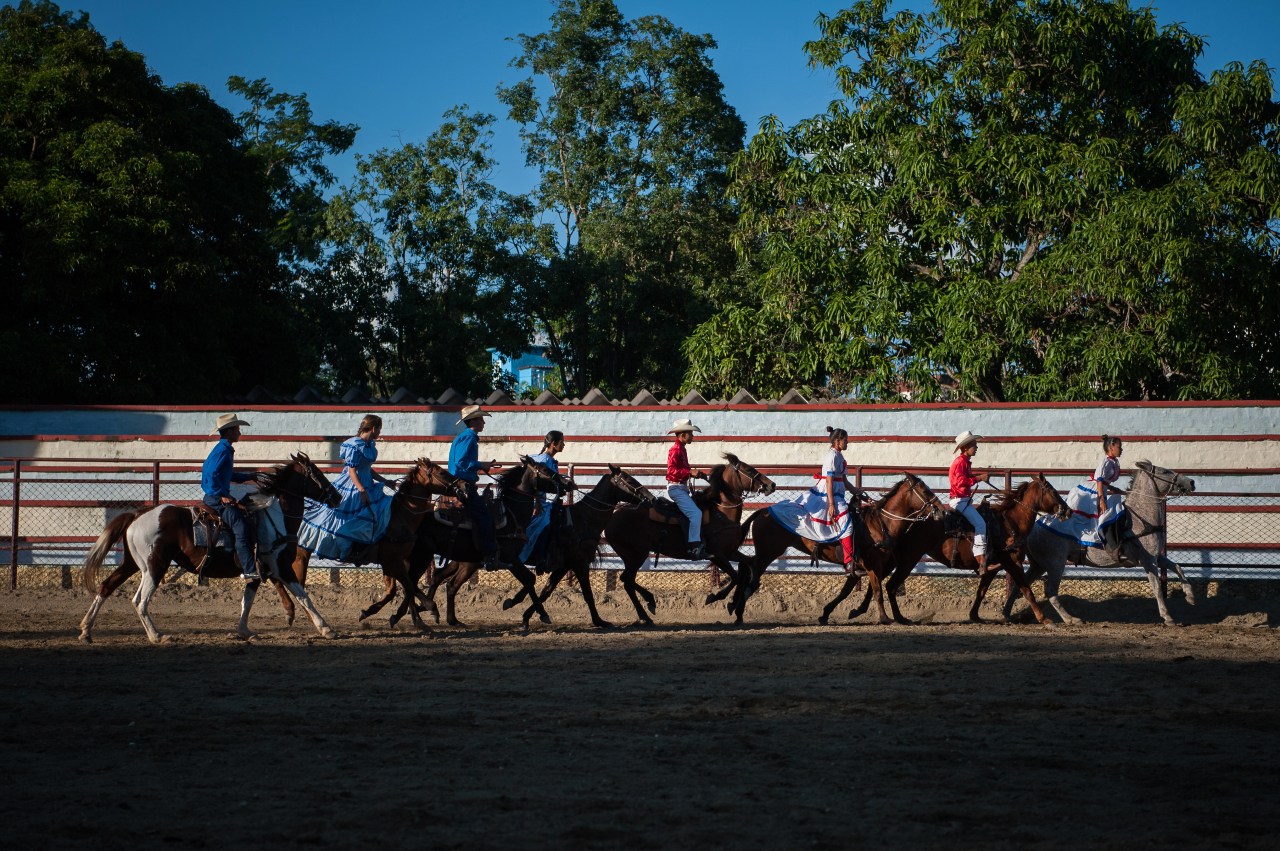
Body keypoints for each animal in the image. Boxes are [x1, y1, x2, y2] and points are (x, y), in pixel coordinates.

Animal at [78, 450, 343, 644]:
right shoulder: (280, 566)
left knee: (107, 586)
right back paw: (157, 636)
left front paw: (245, 631)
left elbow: (248, 600)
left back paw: (86, 630)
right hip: (155, 566)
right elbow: (304, 596)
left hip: (133, 564)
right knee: (140, 601)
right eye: (317, 473)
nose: (337, 497)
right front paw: (327, 628)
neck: (275, 515)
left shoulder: (259, 568)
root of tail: (137, 514)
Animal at [360, 455, 560, 627]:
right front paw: (535, 612)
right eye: (545, 469)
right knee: (412, 583)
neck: (511, 514)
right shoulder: (509, 557)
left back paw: (428, 616)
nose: (565, 484)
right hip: (422, 556)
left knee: (422, 582)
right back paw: (422, 614)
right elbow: (529, 579)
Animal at [604, 450, 773, 624]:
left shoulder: (730, 552)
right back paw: (646, 613)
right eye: (749, 469)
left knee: (627, 580)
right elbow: (735, 577)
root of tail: (613, 518)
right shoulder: (717, 555)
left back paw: (649, 603)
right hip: (637, 554)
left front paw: (735, 602)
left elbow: (749, 565)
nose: (771, 485)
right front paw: (716, 598)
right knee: (628, 581)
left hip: (631, 556)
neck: (721, 513)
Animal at [1008, 458, 1198, 624]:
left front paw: (1190, 596)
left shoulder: (1157, 557)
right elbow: (1157, 587)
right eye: (1165, 472)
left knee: (1020, 585)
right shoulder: (1148, 560)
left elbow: (1177, 567)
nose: (1191, 482)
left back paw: (1007, 615)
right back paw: (1071, 619)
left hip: (1038, 565)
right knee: (1050, 592)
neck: (1142, 518)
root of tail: (1034, 527)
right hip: (1055, 564)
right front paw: (1168, 617)